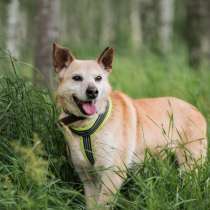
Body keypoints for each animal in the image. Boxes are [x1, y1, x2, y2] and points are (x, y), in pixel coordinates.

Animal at [52, 43, 207, 209]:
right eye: (77, 78)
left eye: (98, 78)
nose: (93, 92)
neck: (90, 124)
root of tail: (196, 109)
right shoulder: (88, 178)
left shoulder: (113, 174)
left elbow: (103, 204)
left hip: (190, 166)